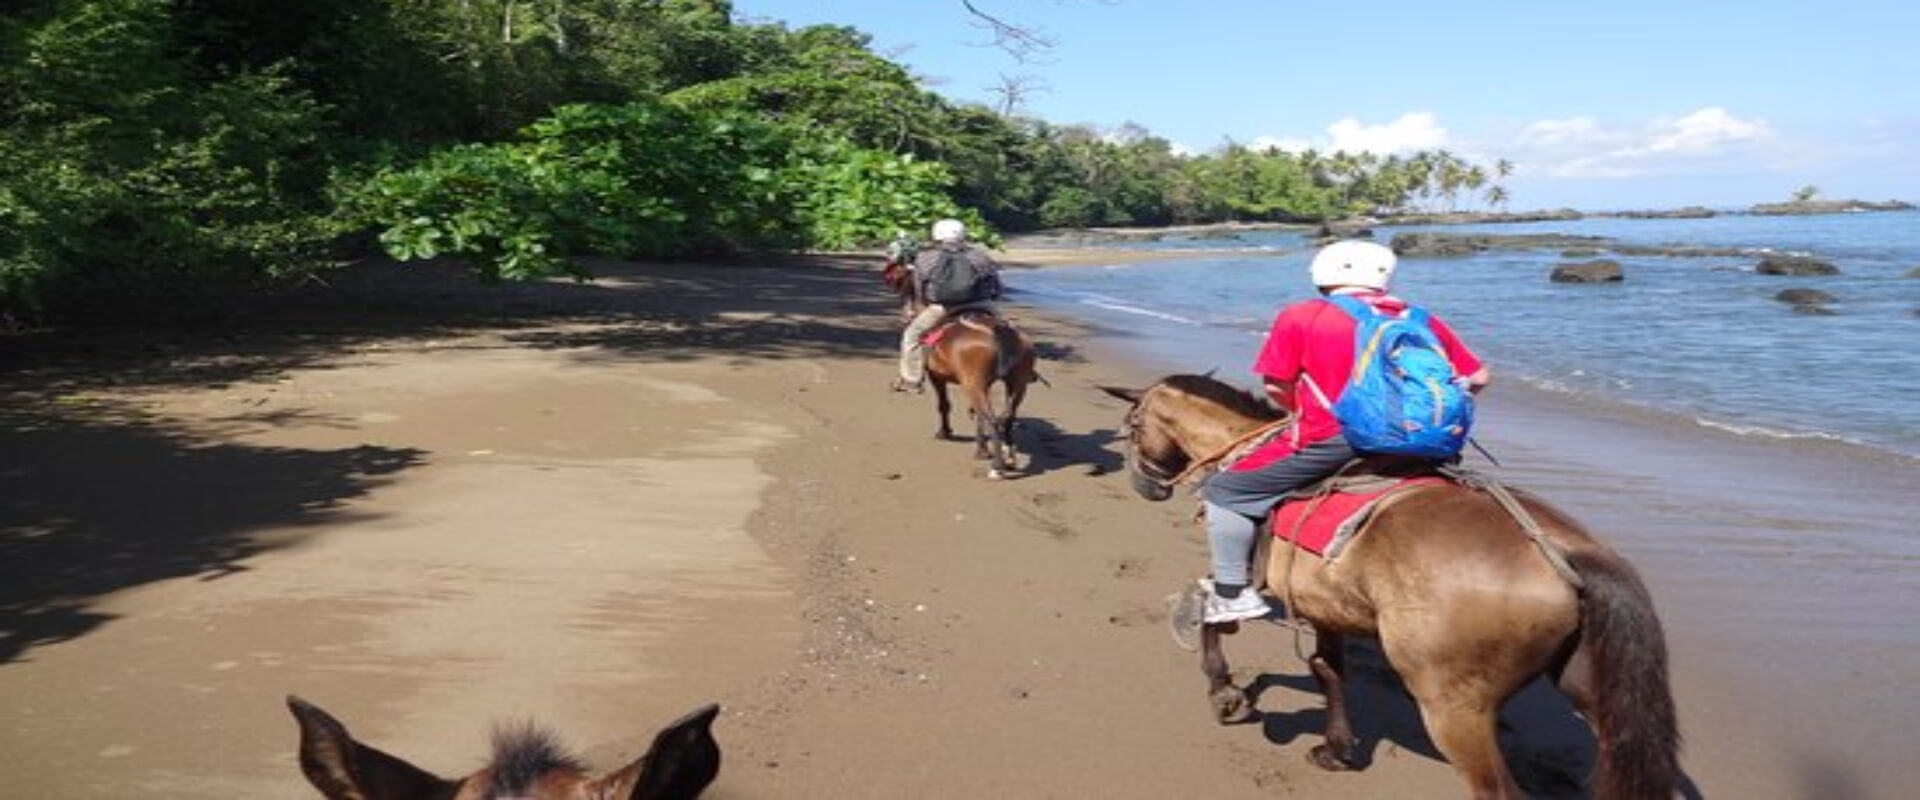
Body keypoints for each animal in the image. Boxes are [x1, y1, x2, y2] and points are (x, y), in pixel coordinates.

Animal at [1105, 376, 1674, 798]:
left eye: (1131, 427)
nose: (1144, 486)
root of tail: (1566, 551)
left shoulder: (1243, 580)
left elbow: (1213, 619)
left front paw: (1226, 694)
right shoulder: (1325, 609)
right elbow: (1328, 671)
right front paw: (1336, 748)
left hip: (1454, 710)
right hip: (1593, 695)